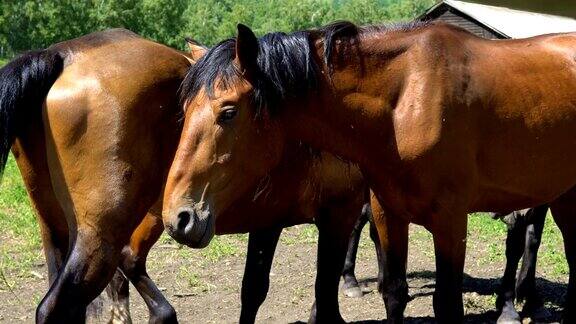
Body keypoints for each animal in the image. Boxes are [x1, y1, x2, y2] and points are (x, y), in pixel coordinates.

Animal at [163, 21, 576, 322]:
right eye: (183, 110)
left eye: (228, 111)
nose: (179, 217)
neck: (407, 99)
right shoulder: (387, 212)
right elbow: (393, 292)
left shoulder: (450, 221)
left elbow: (447, 303)